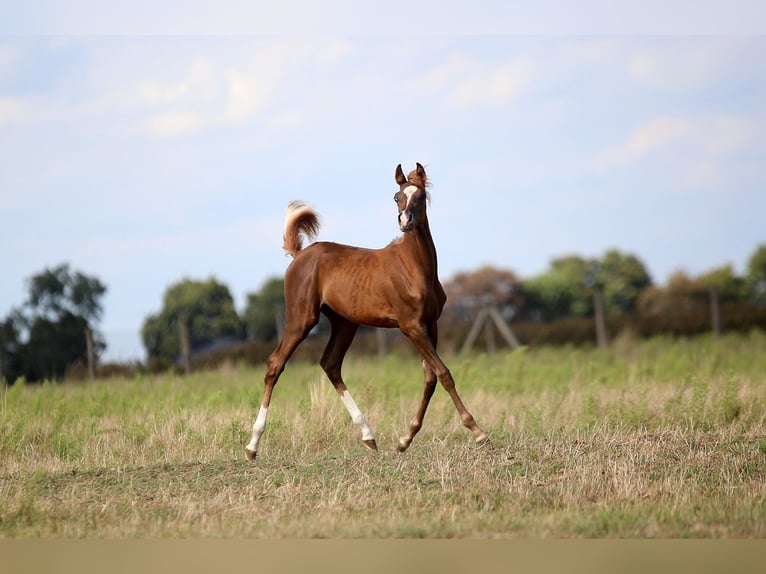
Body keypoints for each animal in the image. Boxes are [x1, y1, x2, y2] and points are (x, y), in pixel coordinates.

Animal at [244, 163, 488, 460]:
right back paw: (252, 445)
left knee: (330, 364)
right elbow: (443, 373)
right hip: (301, 319)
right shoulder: (411, 326)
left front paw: (405, 439)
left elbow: (430, 377)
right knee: (275, 364)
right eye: (396, 197)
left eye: (420, 196)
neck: (415, 267)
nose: (405, 221)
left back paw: (368, 435)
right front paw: (477, 431)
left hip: (345, 323)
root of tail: (299, 255)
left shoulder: (430, 324)